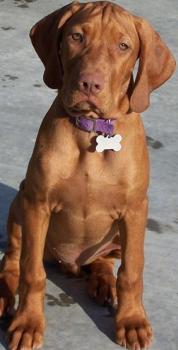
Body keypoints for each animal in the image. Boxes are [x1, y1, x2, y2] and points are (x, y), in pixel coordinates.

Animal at [0, 1, 175, 348]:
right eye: (76, 37)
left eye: (124, 46)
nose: (90, 84)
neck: (92, 129)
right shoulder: (37, 204)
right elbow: (32, 273)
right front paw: (28, 323)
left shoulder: (135, 210)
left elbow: (132, 272)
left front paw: (132, 320)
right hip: (20, 205)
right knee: (12, 259)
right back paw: (3, 294)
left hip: (115, 233)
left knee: (105, 261)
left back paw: (103, 282)